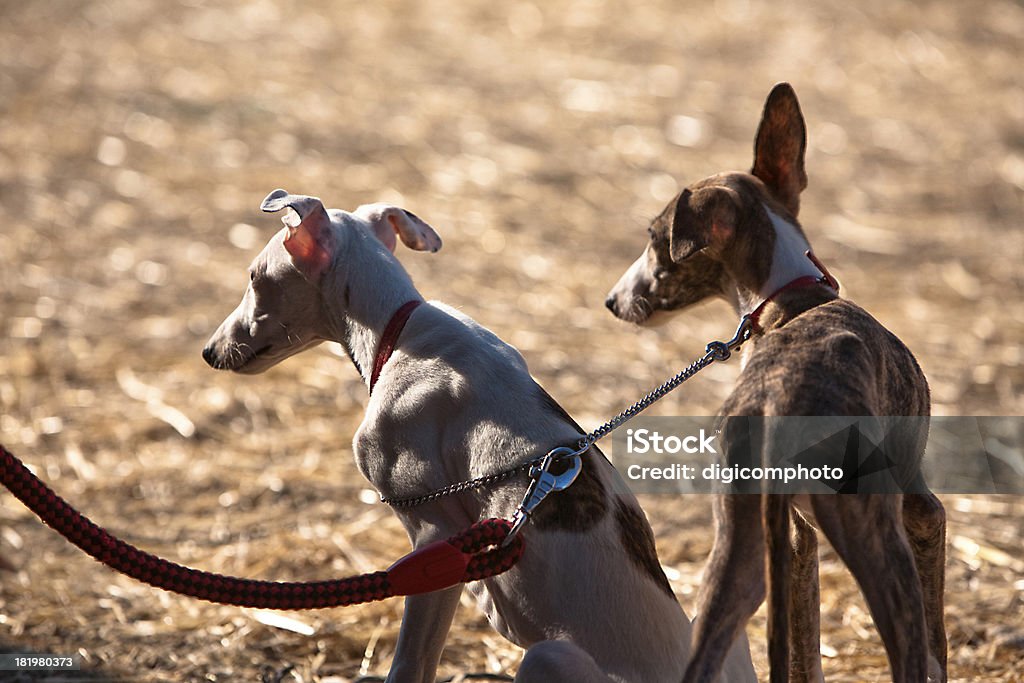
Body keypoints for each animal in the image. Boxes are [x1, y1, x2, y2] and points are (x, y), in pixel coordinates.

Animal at [602, 85, 946, 683]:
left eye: (653, 239)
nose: (612, 302)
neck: (792, 294)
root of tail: (776, 407)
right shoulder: (922, 511)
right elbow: (936, 644)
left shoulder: (796, 534)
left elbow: (804, 647)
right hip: (876, 534)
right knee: (907, 647)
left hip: (740, 548)